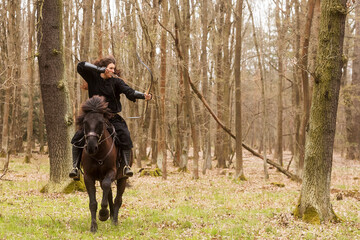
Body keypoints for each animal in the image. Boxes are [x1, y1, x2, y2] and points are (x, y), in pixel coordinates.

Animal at [76, 95, 131, 232]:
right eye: (85, 122)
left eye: (100, 122)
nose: (91, 147)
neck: (99, 154)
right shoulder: (88, 177)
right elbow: (93, 203)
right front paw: (94, 226)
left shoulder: (111, 172)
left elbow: (107, 187)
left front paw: (103, 213)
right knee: (110, 195)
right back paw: (110, 216)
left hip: (122, 178)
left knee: (118, 199)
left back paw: (114, 220)